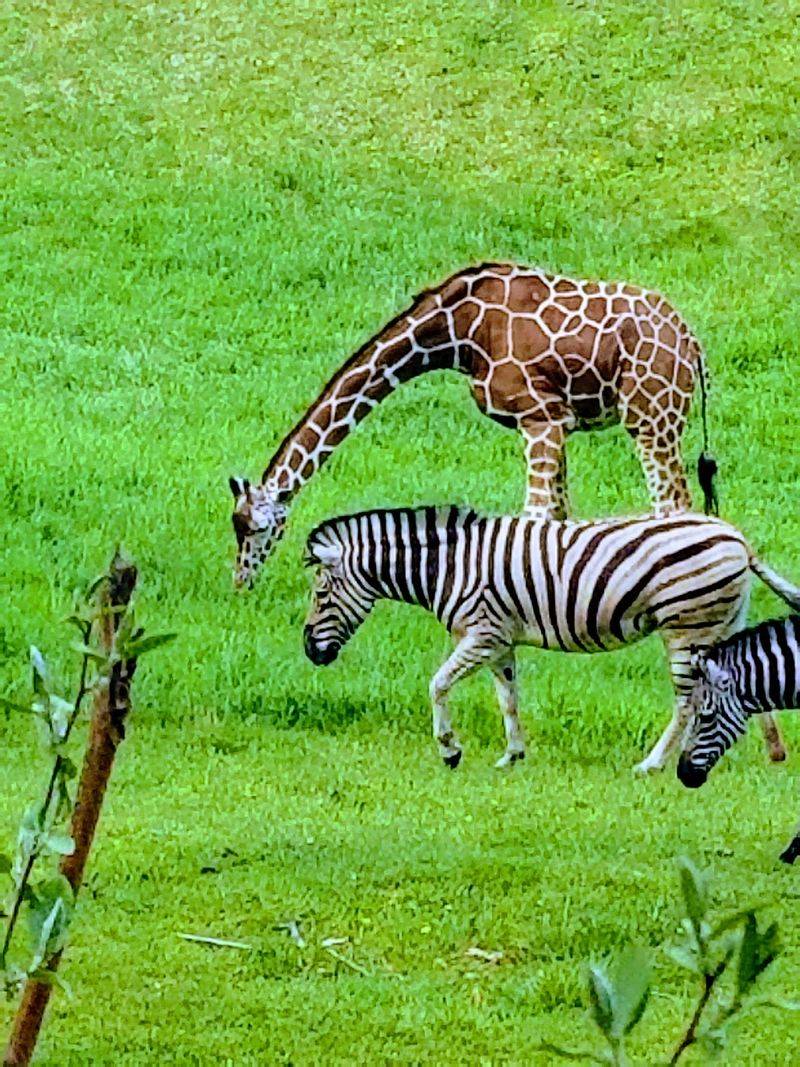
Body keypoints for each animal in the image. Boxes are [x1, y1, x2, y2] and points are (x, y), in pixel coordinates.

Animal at [230, 261, 719, 590]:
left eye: (254, 528)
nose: (240, 583)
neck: (456, 334)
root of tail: (692, 344)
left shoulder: (540, 416)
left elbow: (534, 517)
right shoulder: (556, 423)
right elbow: (559, 517)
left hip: (650, 415)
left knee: (672, 504)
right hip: (660, 417)